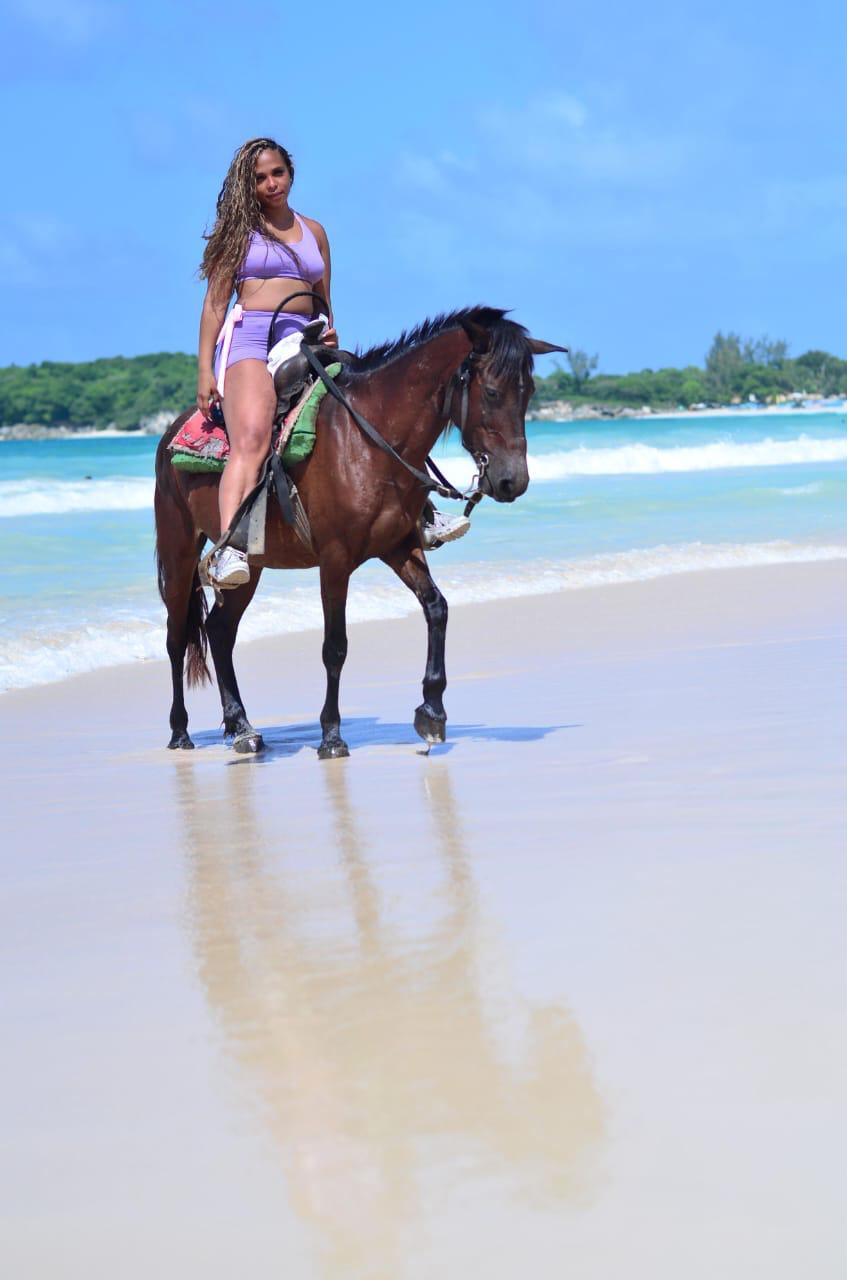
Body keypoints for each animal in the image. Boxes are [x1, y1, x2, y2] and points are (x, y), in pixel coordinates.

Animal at [154, 306, 564, 757]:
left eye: (528, 393)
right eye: (491, 392)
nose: (513, 482)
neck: (366, 442)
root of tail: (171, 432)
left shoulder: (399, 547)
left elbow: (437, 608)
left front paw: (432, 713)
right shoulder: (335, 559)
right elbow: (335, 646)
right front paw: (331, 735)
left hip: (251, 564)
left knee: (220, 631)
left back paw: (242, 727)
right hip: (179, 550)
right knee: (177, 638)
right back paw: (180, 732)